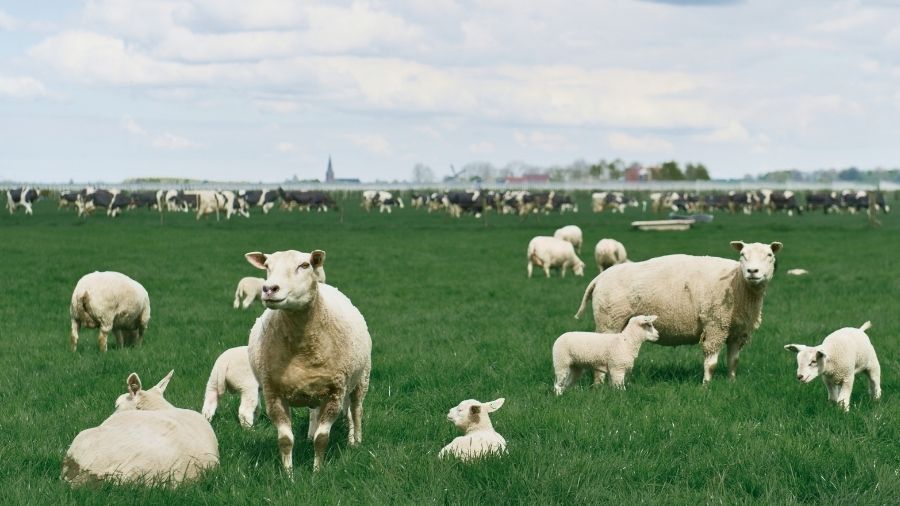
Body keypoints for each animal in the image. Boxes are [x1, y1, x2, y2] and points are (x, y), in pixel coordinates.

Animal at [245, 249, 371, 474]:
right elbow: (285, 440)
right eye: (267, 266)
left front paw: (316, 472)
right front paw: (288, 474)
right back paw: (311, 434)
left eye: (304, 265)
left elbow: (322, 439)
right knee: (315, 413)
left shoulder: (335, 393)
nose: (269, 289)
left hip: (361, 377)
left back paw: (355, 441)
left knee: (356, 411)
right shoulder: (273, 394)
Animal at [575, 241, 782, 384]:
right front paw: (706, 386)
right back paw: (599, 386)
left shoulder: (737, 331)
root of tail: (599, 278)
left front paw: (732, 382)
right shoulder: (715, 325)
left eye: (769, 255)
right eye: (742, 254)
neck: (738, 284)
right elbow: (711, 362)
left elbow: (734, 361)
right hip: (609, 320)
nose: (752, 271)